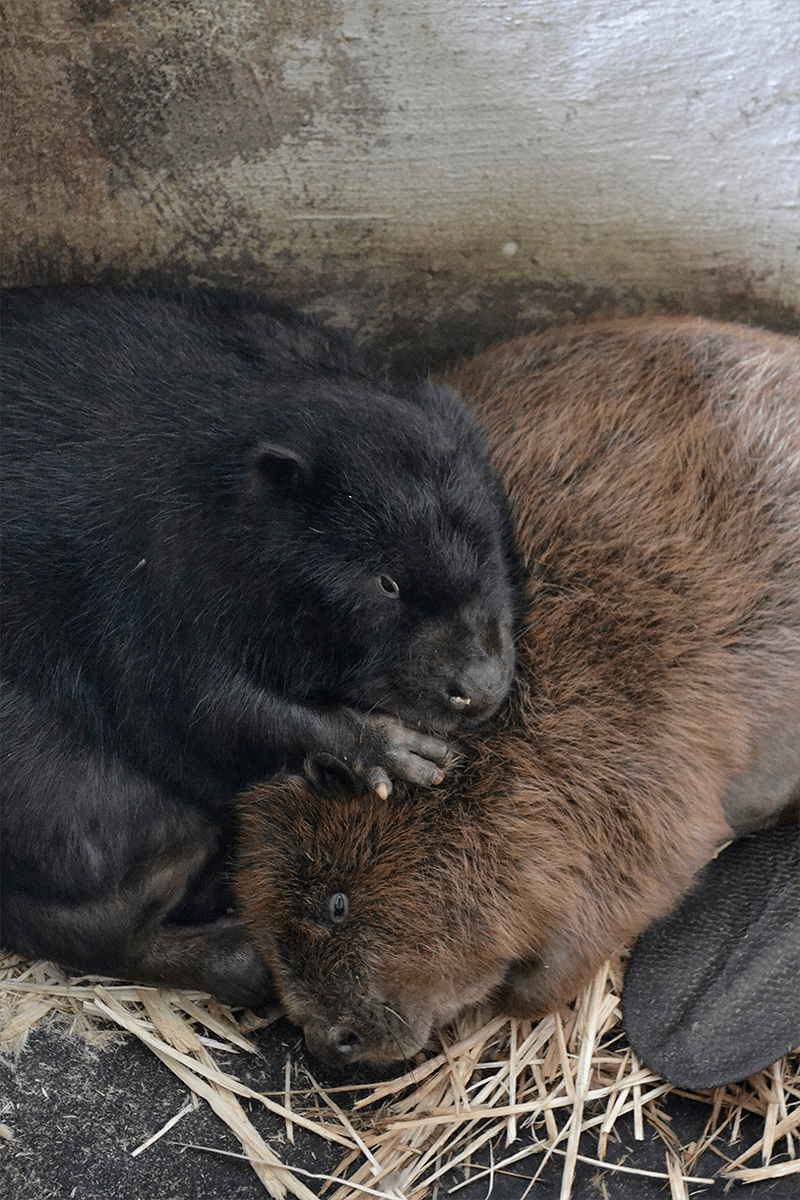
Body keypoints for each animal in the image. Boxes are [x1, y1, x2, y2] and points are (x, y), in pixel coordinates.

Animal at [0, 283, 515, 1003]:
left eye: (486, 537)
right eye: (386, 582)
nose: (481, 686)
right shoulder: (152, 575)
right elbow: (205, 709)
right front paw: (404, 754)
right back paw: (242, 957)